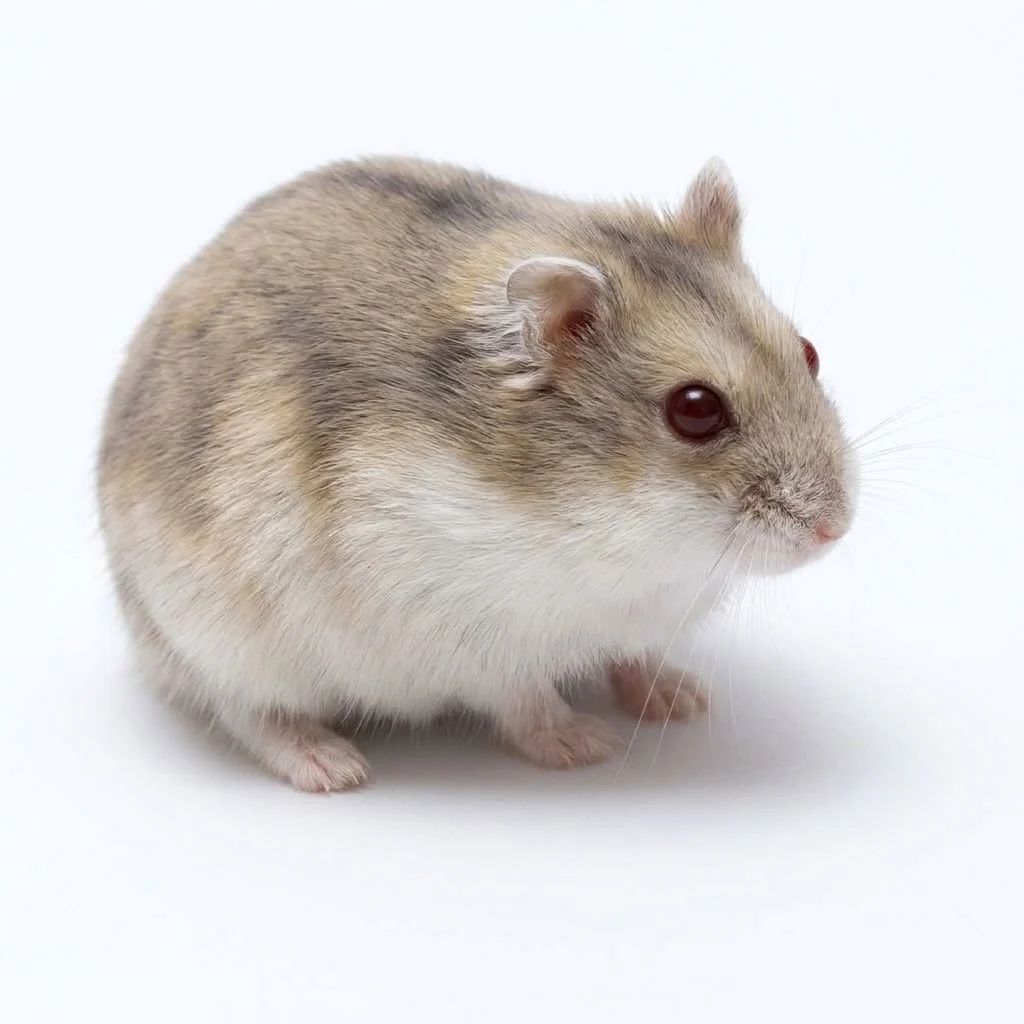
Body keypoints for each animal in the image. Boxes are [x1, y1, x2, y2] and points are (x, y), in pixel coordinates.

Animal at [97, 156, 857, 792]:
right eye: (695, 410)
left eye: (810, 352)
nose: (836, 528)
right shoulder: (470, 638)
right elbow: (524, 700)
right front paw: (586, 746)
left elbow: (633, 655)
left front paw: (686, 699)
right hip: (215, 637)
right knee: (245, 712)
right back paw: (333, 767)